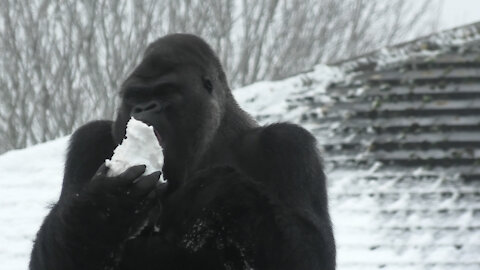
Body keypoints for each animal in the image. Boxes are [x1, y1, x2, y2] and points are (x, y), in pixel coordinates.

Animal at [27, 34, 334, 270]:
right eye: (135, 96)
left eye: (165, 93)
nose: (144, 108)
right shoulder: (87, 142)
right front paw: (105, 205)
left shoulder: (288, 146)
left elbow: (310, 256)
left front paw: (220, 191)